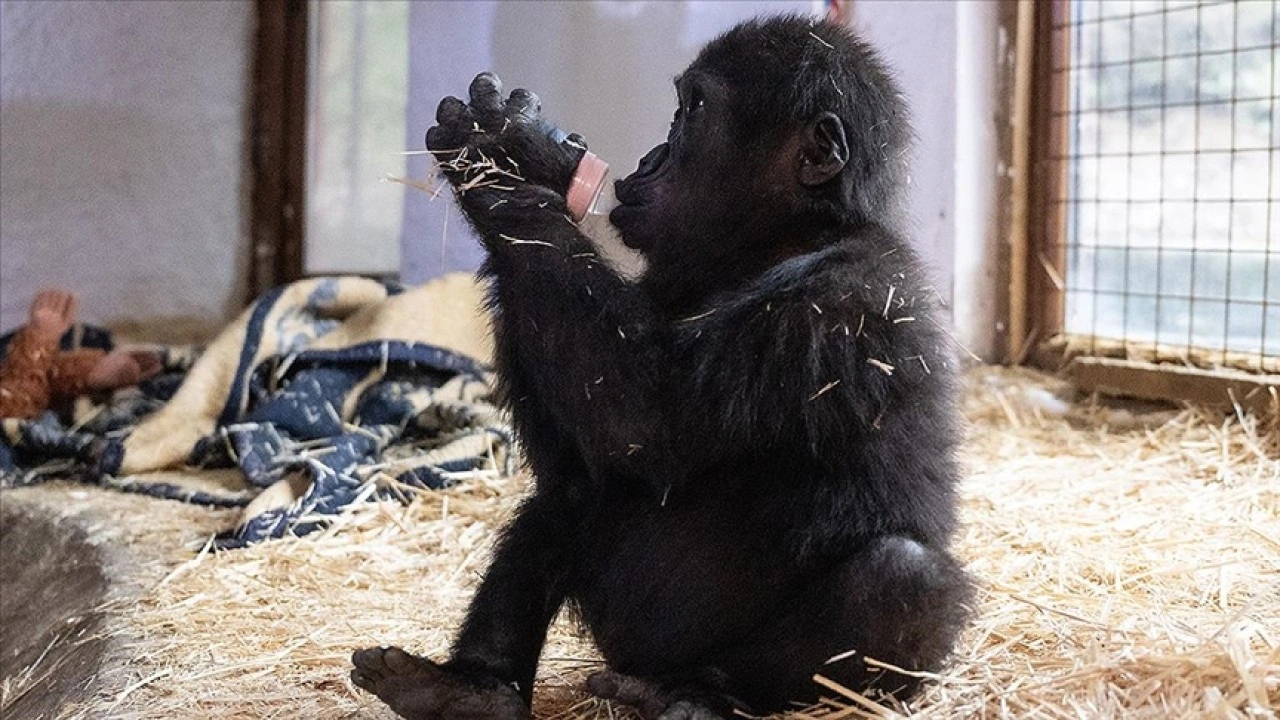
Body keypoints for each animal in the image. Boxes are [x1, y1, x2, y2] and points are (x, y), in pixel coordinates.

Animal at [350, 12, 967, 717]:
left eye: (693, 110)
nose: (650, 155)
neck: (780, 239)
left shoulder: (846, 303)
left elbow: (648, 420)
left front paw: (507, 159)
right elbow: (587, 440)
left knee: (904, 579)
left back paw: (698, 696)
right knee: (566, 498)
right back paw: (471, 689)